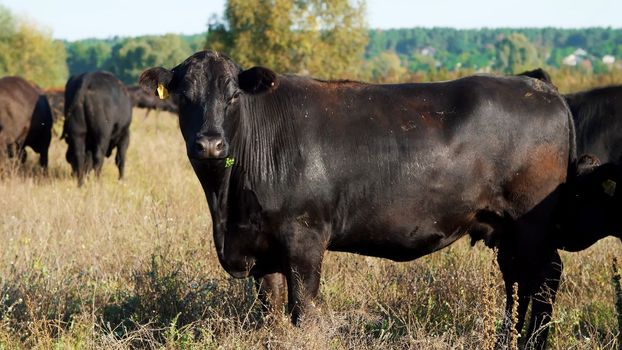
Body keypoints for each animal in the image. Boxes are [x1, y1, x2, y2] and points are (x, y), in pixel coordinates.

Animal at [143, 50, 580, 348]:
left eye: (233, 96)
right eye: (183, 97)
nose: (210, 143)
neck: (227, 206)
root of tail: (539, 85)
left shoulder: (304, 240)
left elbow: (303, 310)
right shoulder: (263, 250)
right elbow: (270, 311)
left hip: (531, 225)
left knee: (544, 279)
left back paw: (533, 342)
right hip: (506, 230)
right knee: (517, 281)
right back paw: (509, 339)